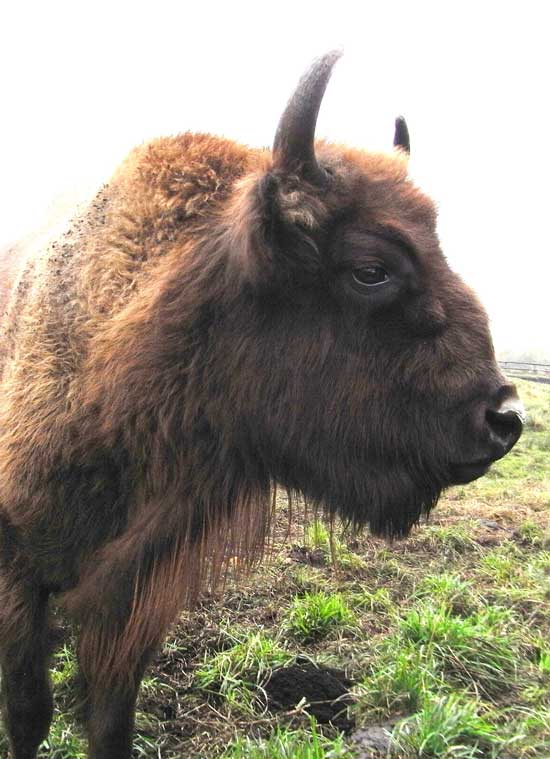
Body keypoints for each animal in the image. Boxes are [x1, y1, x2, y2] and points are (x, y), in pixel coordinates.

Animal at [0, 53, 528, 759]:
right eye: (371, 269)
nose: (503, 419)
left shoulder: (132, 596)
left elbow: (110, 718)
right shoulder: (20, 579)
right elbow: (28, 713)